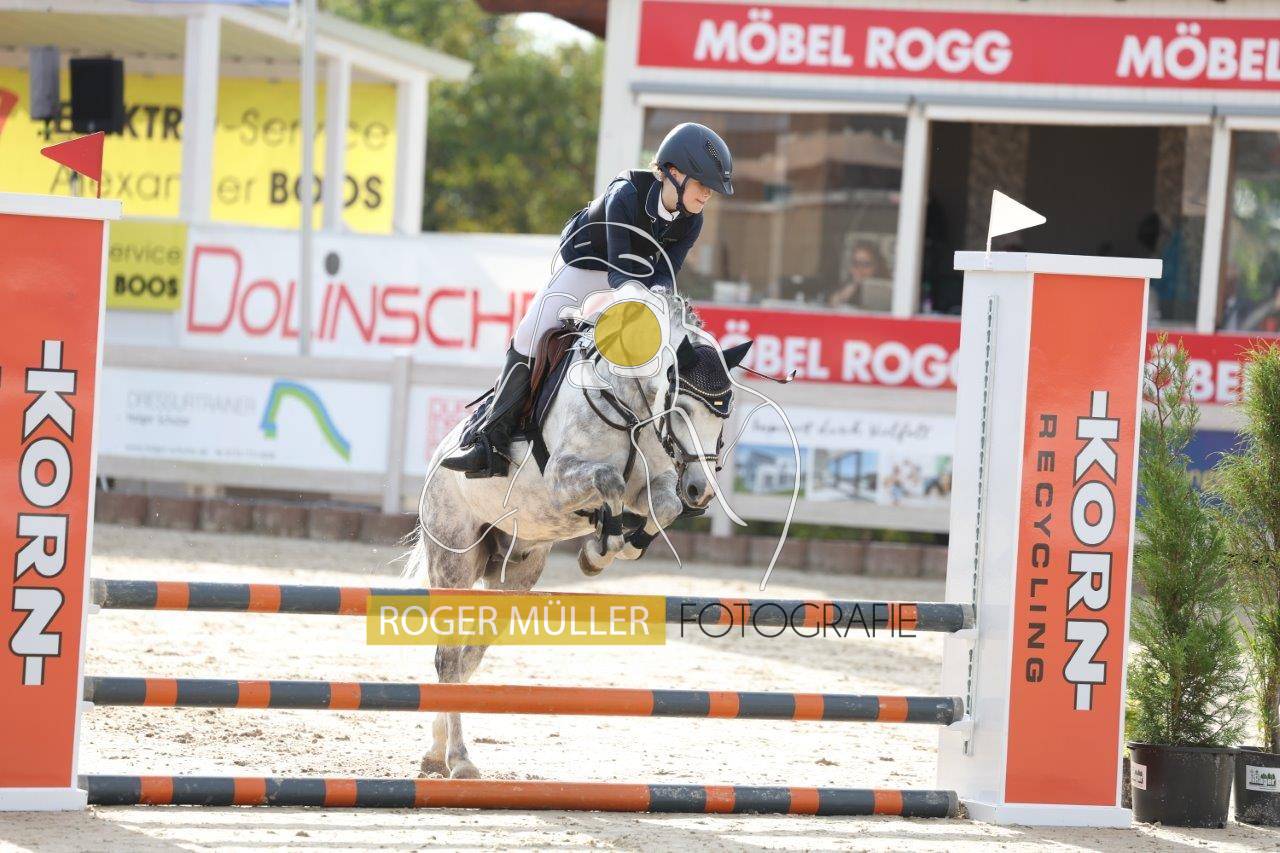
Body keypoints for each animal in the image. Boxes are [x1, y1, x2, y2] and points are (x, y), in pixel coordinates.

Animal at [404, 289, 751, 779]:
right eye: (681, 410)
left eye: (726, 413)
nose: (701, 490)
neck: (629, 405)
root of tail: (438, 457)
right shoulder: (563, 477)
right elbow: (609, 479)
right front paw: (602, 540)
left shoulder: (656, 484)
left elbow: (663, 505)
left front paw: (609, 548)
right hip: (454, 560)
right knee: (449, 657)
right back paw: (459, 759)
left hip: (516, 573)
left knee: (468, 655)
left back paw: (438, 752)